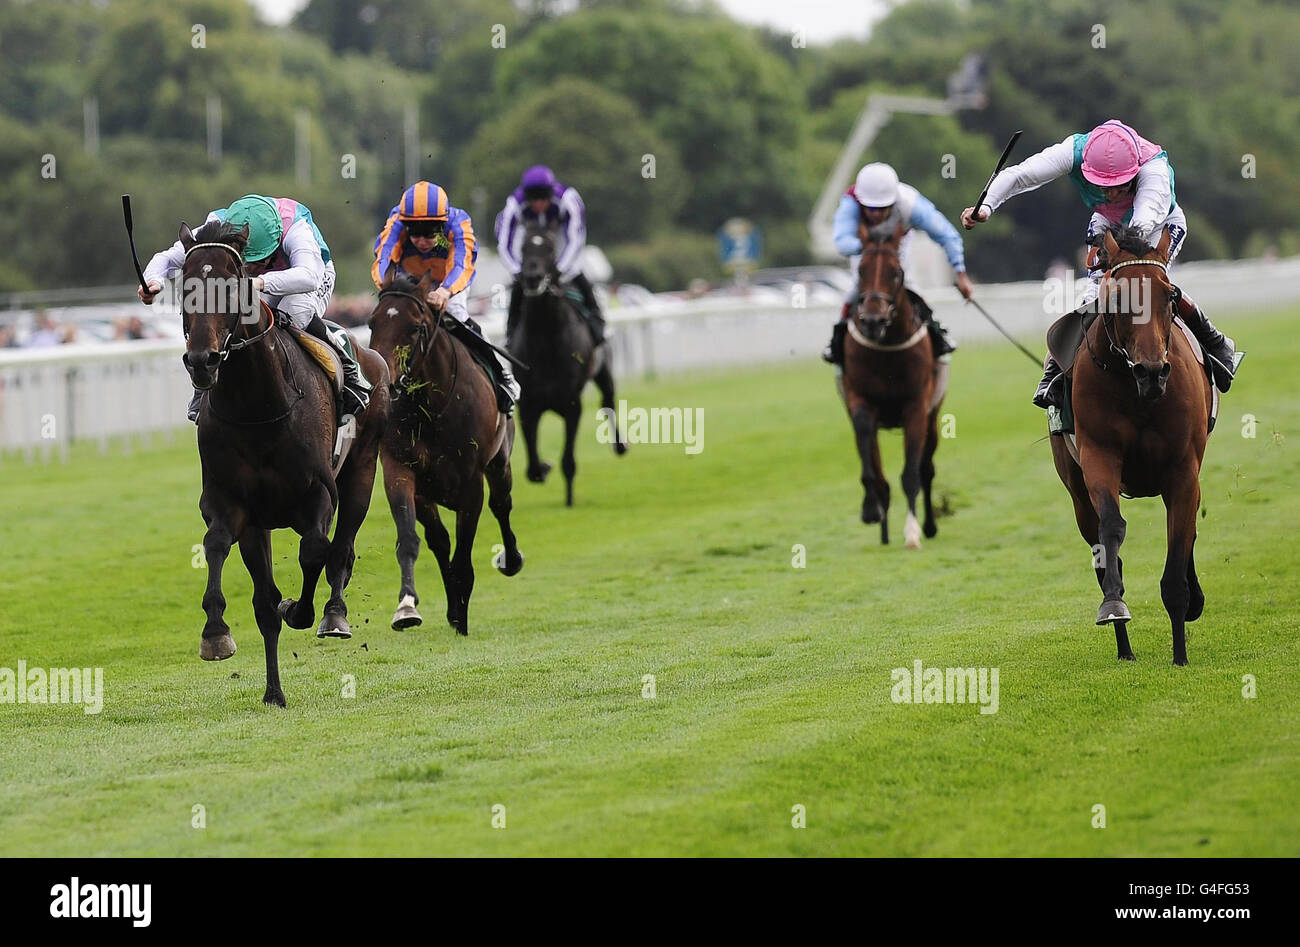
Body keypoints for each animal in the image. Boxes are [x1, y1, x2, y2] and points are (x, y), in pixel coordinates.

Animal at [180, 215, 387, 702]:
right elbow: (218, 546)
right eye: (185, 286)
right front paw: (215, 633)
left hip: (362, 472)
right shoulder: (231, 503)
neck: (258, 407)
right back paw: (274, 692)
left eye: (233, 284)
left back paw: (333, 615)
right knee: (263, 599)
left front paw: (301, 609)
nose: (202, 361)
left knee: (342, 548)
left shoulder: (319, 494)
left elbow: (315, 552)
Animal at [366, 270, 522, 637]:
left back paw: (510, 560)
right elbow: (412, 539)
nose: (383, 381)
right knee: (439, 539)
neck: (431, 407)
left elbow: (464, 552)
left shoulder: (471, 483)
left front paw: (461, 616)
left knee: (502, 504)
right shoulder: (401, 469)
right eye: (371, 323)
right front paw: (407, 607)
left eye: (415, 327)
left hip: (499, 462)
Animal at [506, 218, 624, 507]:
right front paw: (544, 467)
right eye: (523, 246)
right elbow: (533, 468)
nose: (532, 277)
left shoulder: (572, 405)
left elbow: (568, 460)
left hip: (604, 369)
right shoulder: (528, 405)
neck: (546, 343)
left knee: (608, 401)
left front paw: (569, 500)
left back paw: (620, 444)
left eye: (549, 248)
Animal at [842, 219, 946, 546]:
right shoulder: (860, 401)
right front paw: (870, 508)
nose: (873, 320)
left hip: (933, 419)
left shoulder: (916, 406)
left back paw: (928, 526)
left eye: (895, 272)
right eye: (861, 270)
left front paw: (912, 533)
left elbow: (912, 473)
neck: (887, 346)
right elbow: (871, 468)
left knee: (927, 468)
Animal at [1050, 225, 1211, 666]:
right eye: (1118, 298)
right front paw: (1114, 606)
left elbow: (1180, 547)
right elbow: (1112, 528)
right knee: (1103, 550)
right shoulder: (1098, 458)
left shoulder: (1183, 470)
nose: (1152, 371)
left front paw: (1180, 656)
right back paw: (1124, 649)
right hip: (1076, 492)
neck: (1138, 394)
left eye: (1170, 295)